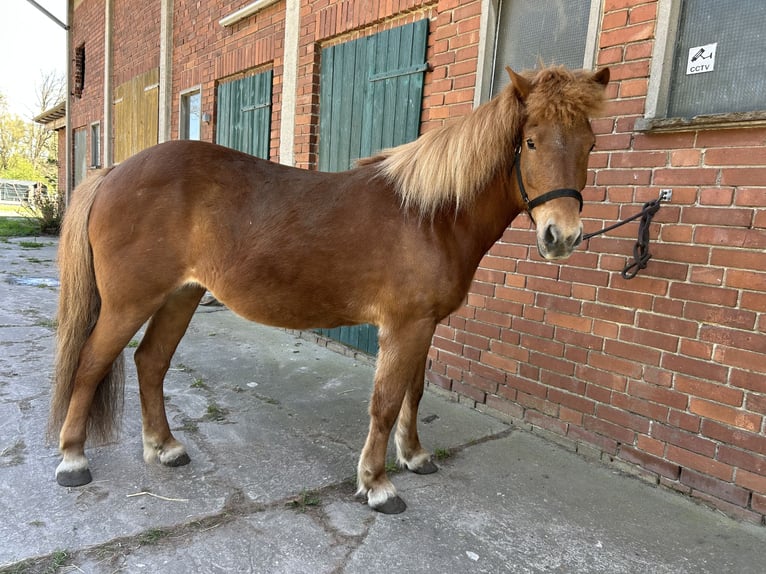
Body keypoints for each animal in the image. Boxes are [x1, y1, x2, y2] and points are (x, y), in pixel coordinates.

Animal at [49, 65, 609, 514]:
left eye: (590, 144)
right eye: (531, 142)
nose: (562, 236)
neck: (430, 216)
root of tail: (113, 171)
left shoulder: (425, 325)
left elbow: (413, 391)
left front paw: (415, 456)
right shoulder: (403, 326)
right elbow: (385, 401)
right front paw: (378, 485)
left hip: (180, 296)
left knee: (151, 363)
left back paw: (165, 447)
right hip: (129, 303)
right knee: (91, 364)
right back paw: (74, 459)